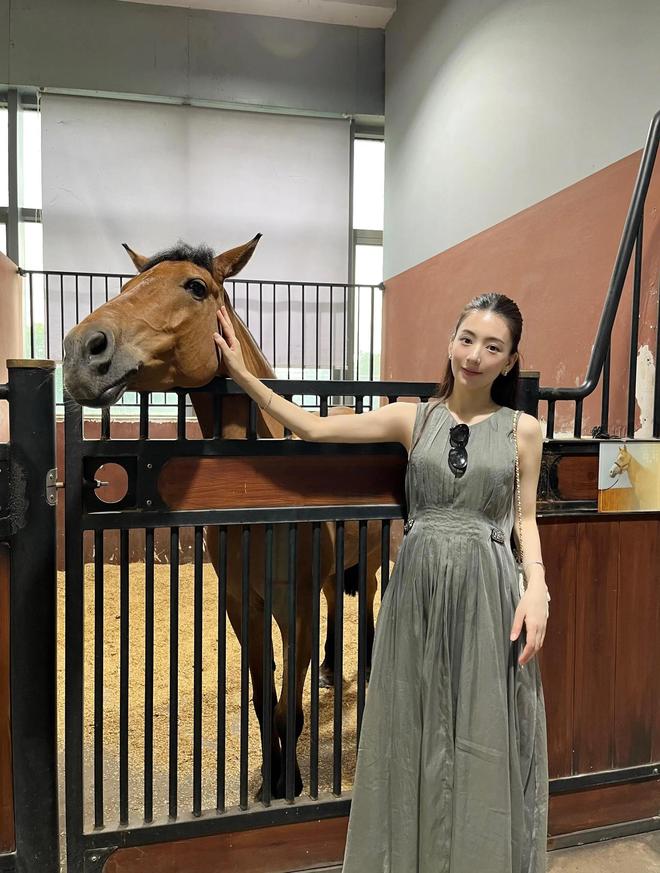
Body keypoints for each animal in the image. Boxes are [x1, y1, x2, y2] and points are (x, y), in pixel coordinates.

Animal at [62, 236, 385, 799]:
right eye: (129, 285)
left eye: (196, 287)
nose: (84, 349)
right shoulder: (243, 606)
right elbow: (262, 700)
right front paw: (269, 781)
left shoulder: (293, 609)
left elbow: (287, 709)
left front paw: (287, 784)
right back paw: (329, 669)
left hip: (370, 562)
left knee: (364, 611)